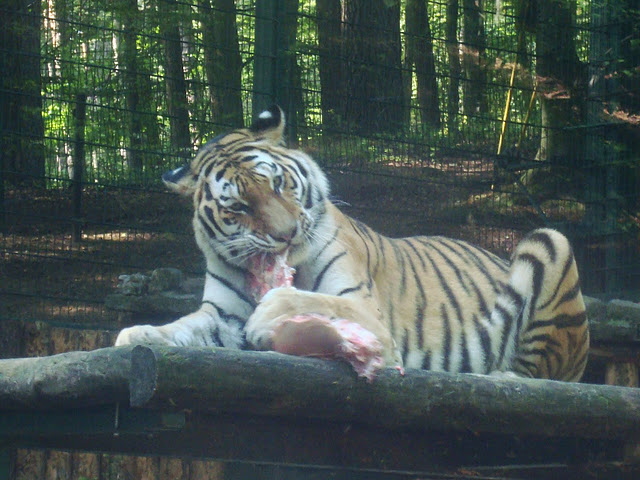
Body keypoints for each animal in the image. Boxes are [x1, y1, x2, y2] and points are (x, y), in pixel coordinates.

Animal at [115, 105, 589, 381]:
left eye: (278, 183)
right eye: (240, 207)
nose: (287, 234)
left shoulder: (368, 312)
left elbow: (312, 299)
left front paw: (271, 310)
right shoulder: (221, 314)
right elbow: (185, 325)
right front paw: (138, 333)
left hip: (552, 242)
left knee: (540, 374)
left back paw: (500, 377)